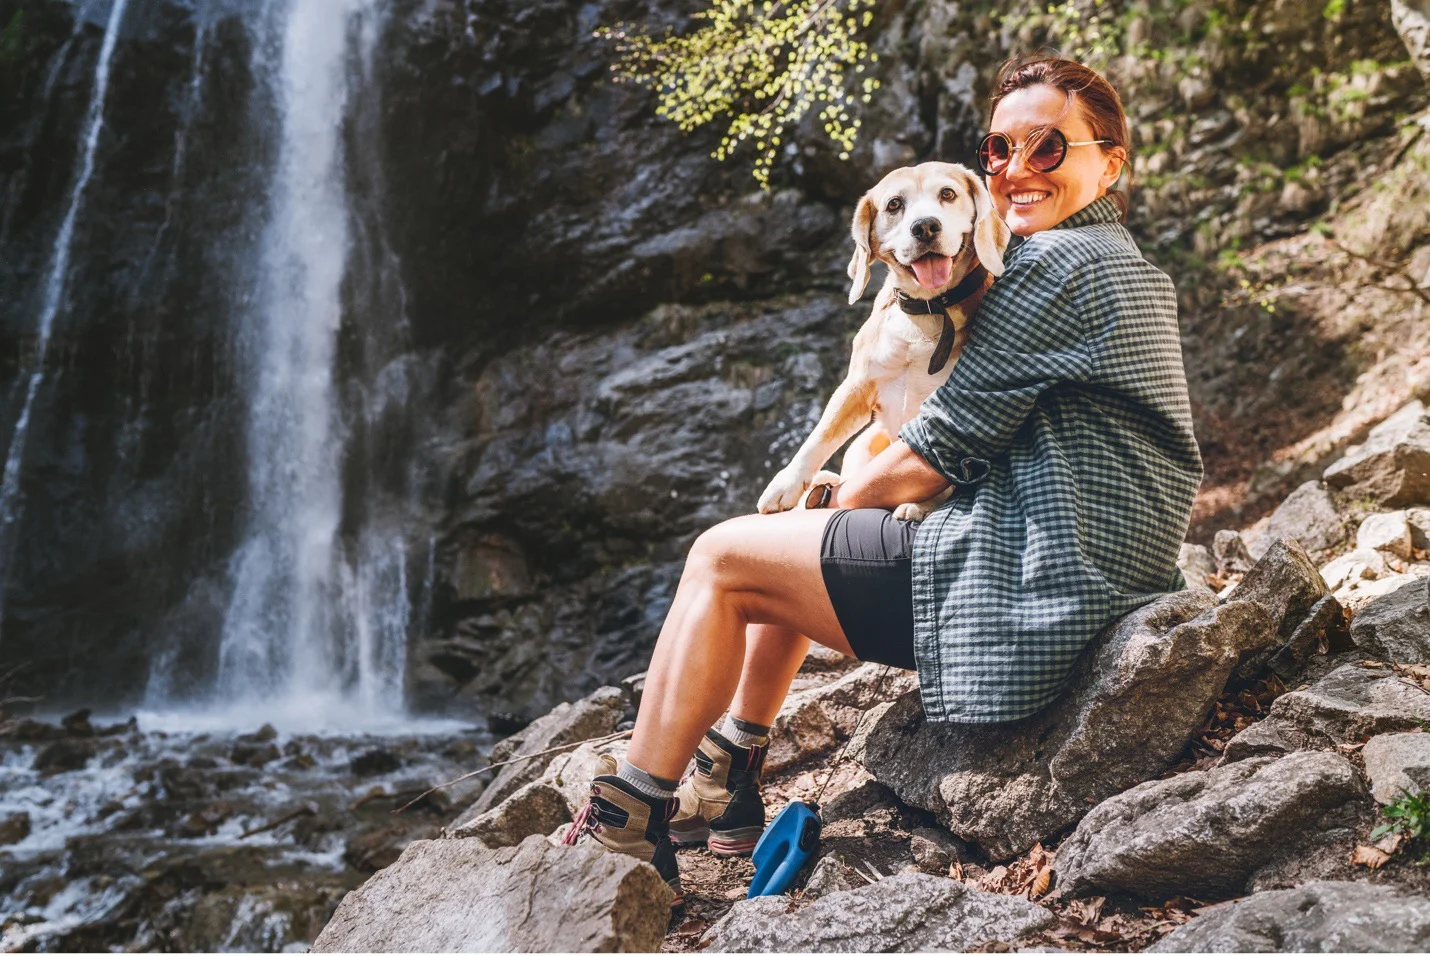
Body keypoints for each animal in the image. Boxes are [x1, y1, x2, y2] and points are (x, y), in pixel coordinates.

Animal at [755, 164, 1012, 523]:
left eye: (948, 194)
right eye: (894, 204)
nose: (926, 226)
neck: (927, 309)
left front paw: (922, 504)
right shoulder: (856, 386)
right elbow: (818, 437)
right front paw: (786, 485)